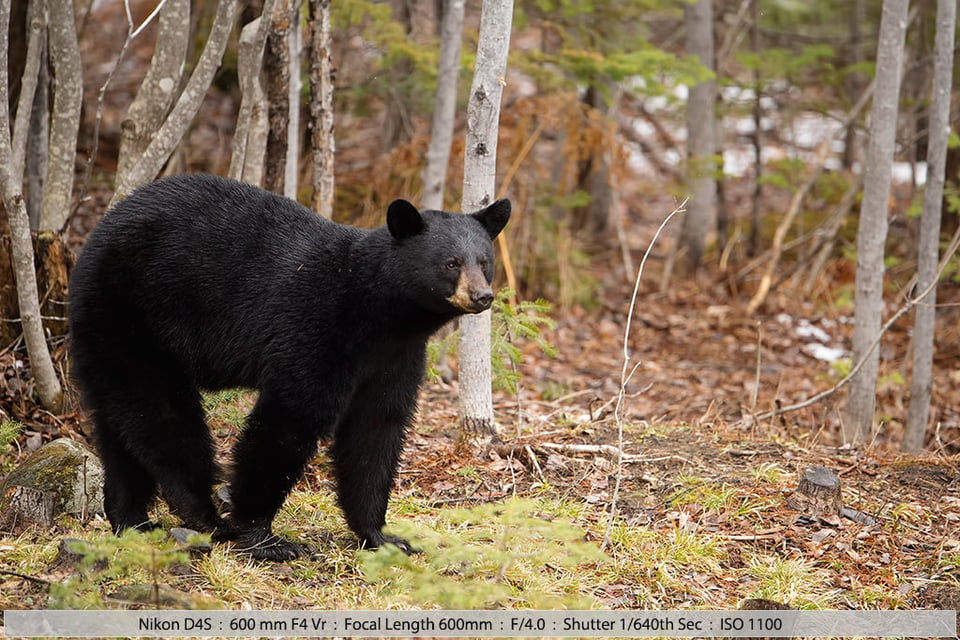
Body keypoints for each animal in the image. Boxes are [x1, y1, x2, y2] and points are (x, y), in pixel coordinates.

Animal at [69, 175, 510, 560]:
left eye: (484, 261)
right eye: (451, 263)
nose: (482, 296)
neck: (379, 312)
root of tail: (96, 235)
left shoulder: (394, 357)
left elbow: (376, 429)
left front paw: (382, 535)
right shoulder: (315, 326)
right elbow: (289, 420)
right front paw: (264, 538)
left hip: (110, 336)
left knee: (119, 426)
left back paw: (131, 520)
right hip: (135, 316)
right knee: (163, 418)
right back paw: (204, 514)